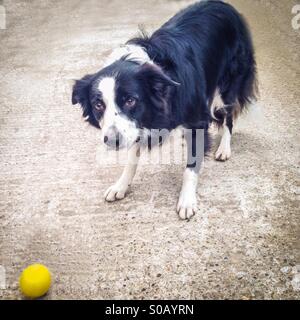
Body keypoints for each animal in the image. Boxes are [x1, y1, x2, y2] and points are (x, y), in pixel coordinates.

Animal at [71, 0, 256, 220]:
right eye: (98, 105)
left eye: (130, 100)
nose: (112, 141)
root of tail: (225, 5)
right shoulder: (137, 124)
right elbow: (132, 158)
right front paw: (120, 186)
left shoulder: (196, 119)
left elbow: (191, 165)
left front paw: (186, 200)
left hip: (228, 84)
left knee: (228, 117)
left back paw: (224, 149)